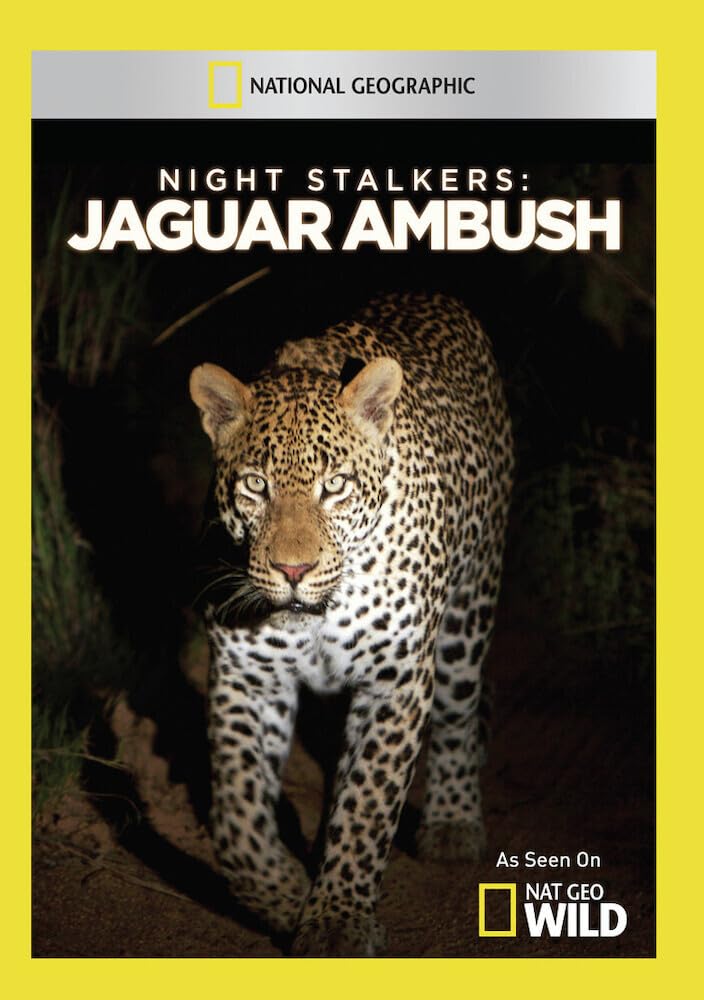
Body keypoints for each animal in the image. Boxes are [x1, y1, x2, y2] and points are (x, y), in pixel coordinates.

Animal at [189, 291, 513, 957]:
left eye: (334, 486)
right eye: (255, 485)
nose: (292, 569)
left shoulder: (396, 681)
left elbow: (367, 804)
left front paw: (337, 920)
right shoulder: (245, 677)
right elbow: (237, 816)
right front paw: (284, 894)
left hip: (469, 611)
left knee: (463, 707)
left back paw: (453, 821)